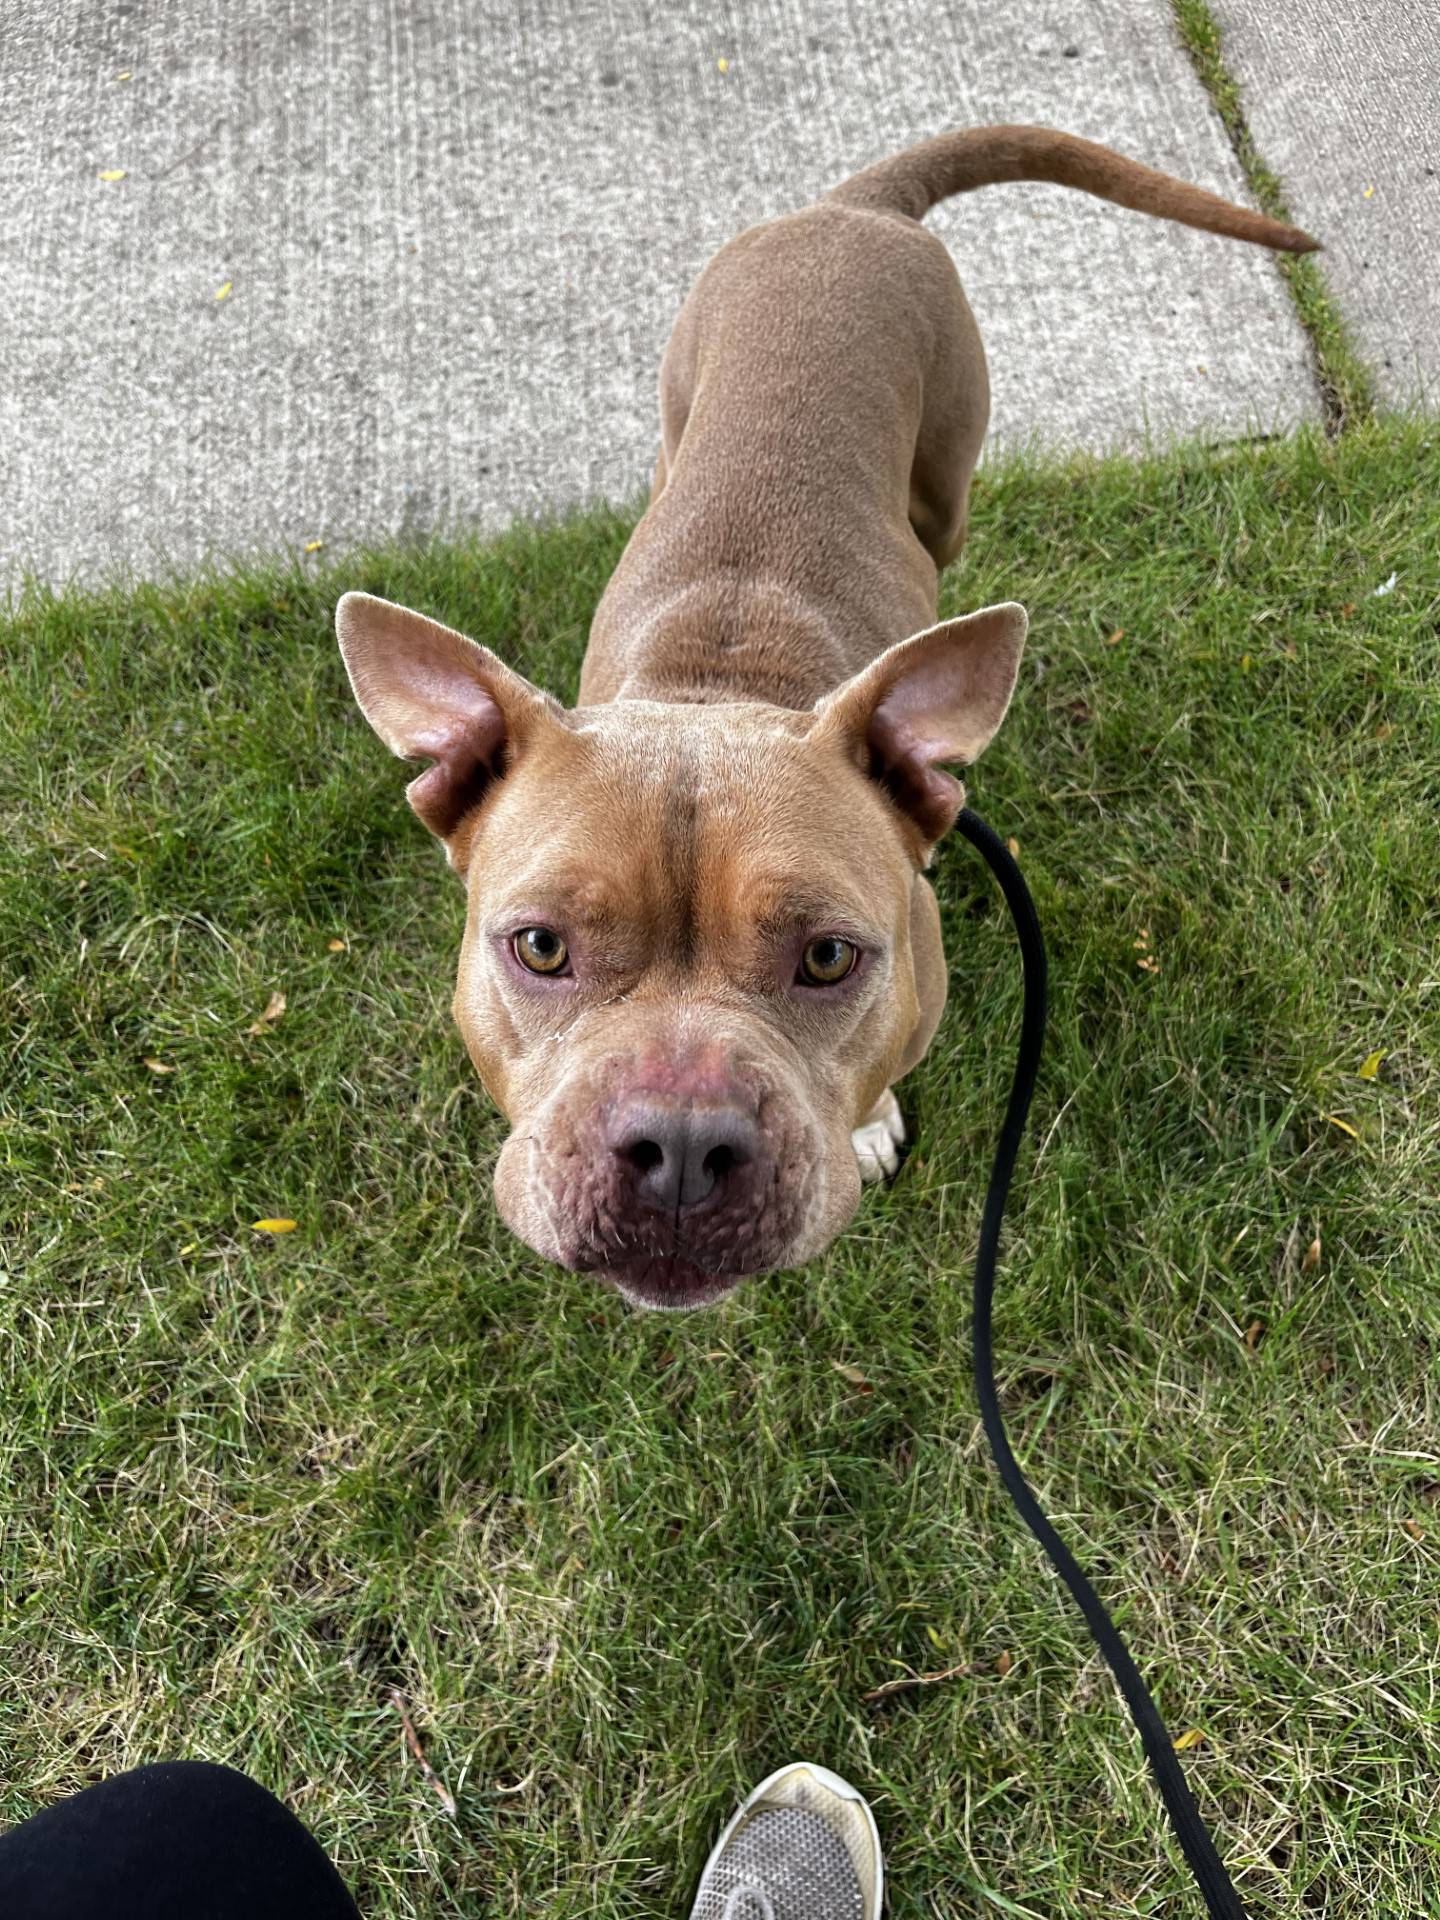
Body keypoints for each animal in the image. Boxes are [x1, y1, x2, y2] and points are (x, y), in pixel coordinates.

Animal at [330, 127, 1320, 1313]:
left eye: (831, 959)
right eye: (540, 947)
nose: (679, 1147)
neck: (715, 690)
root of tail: (852, 209)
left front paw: (871, 1120)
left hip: (946, 470)